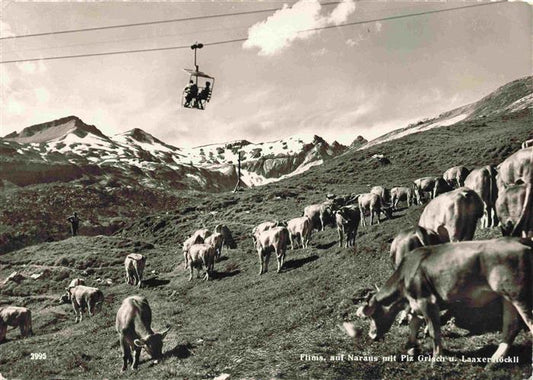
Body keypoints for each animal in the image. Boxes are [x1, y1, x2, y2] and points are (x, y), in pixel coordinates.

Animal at [358, 239, 532, 364]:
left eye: (372, 315)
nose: (371, 336)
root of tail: (522, 240)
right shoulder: (416, 304)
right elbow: (413, 325)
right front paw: (410, 348)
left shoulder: (427, 301)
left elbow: (433, 331)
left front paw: (436, 360)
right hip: (507, 297)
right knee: (511, 327)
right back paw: (494, 361)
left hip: (520, 296)